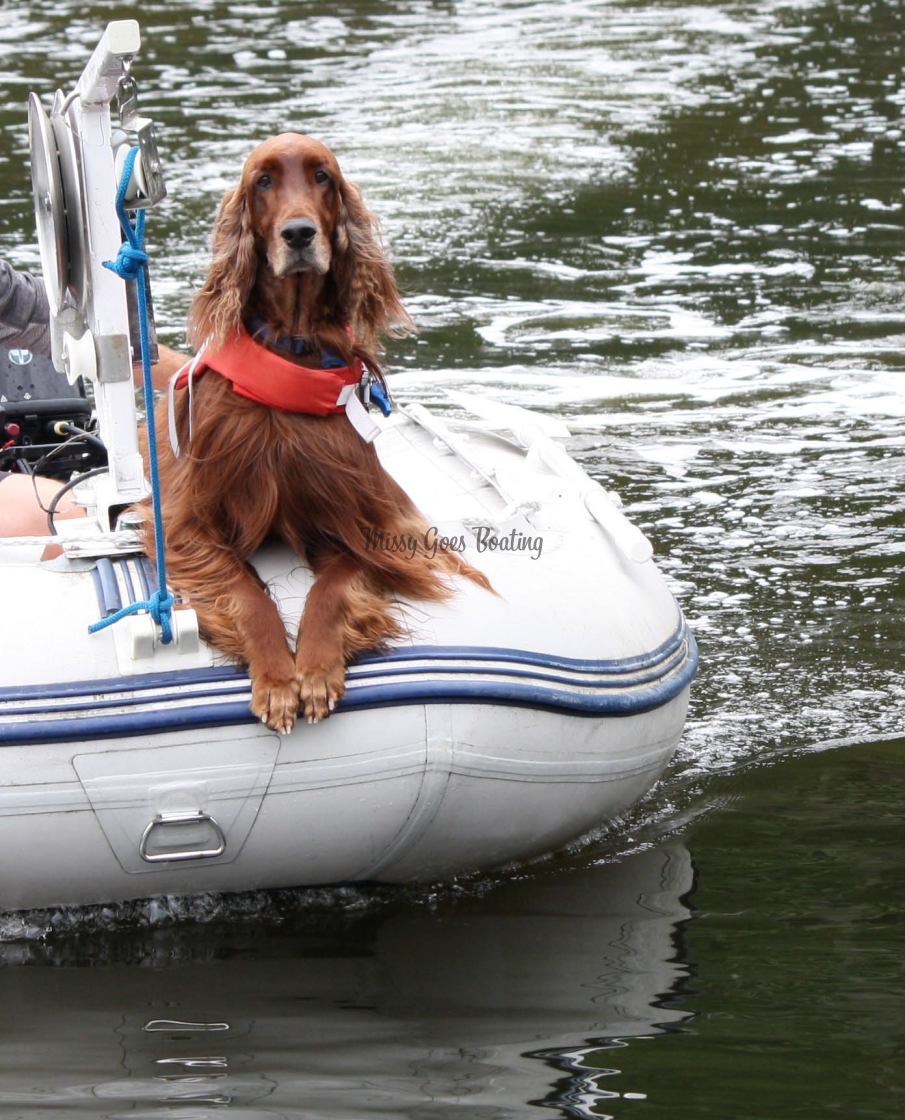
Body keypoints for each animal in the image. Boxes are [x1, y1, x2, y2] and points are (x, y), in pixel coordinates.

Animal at [148, 135, 488, 730]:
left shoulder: (365, 521)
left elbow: (334, 584)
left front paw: (314, 668)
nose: (299, 234)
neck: (293, 346)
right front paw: (276, 676)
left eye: (322, 176)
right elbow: (244, 587)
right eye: (262, 180)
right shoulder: (186, 525)